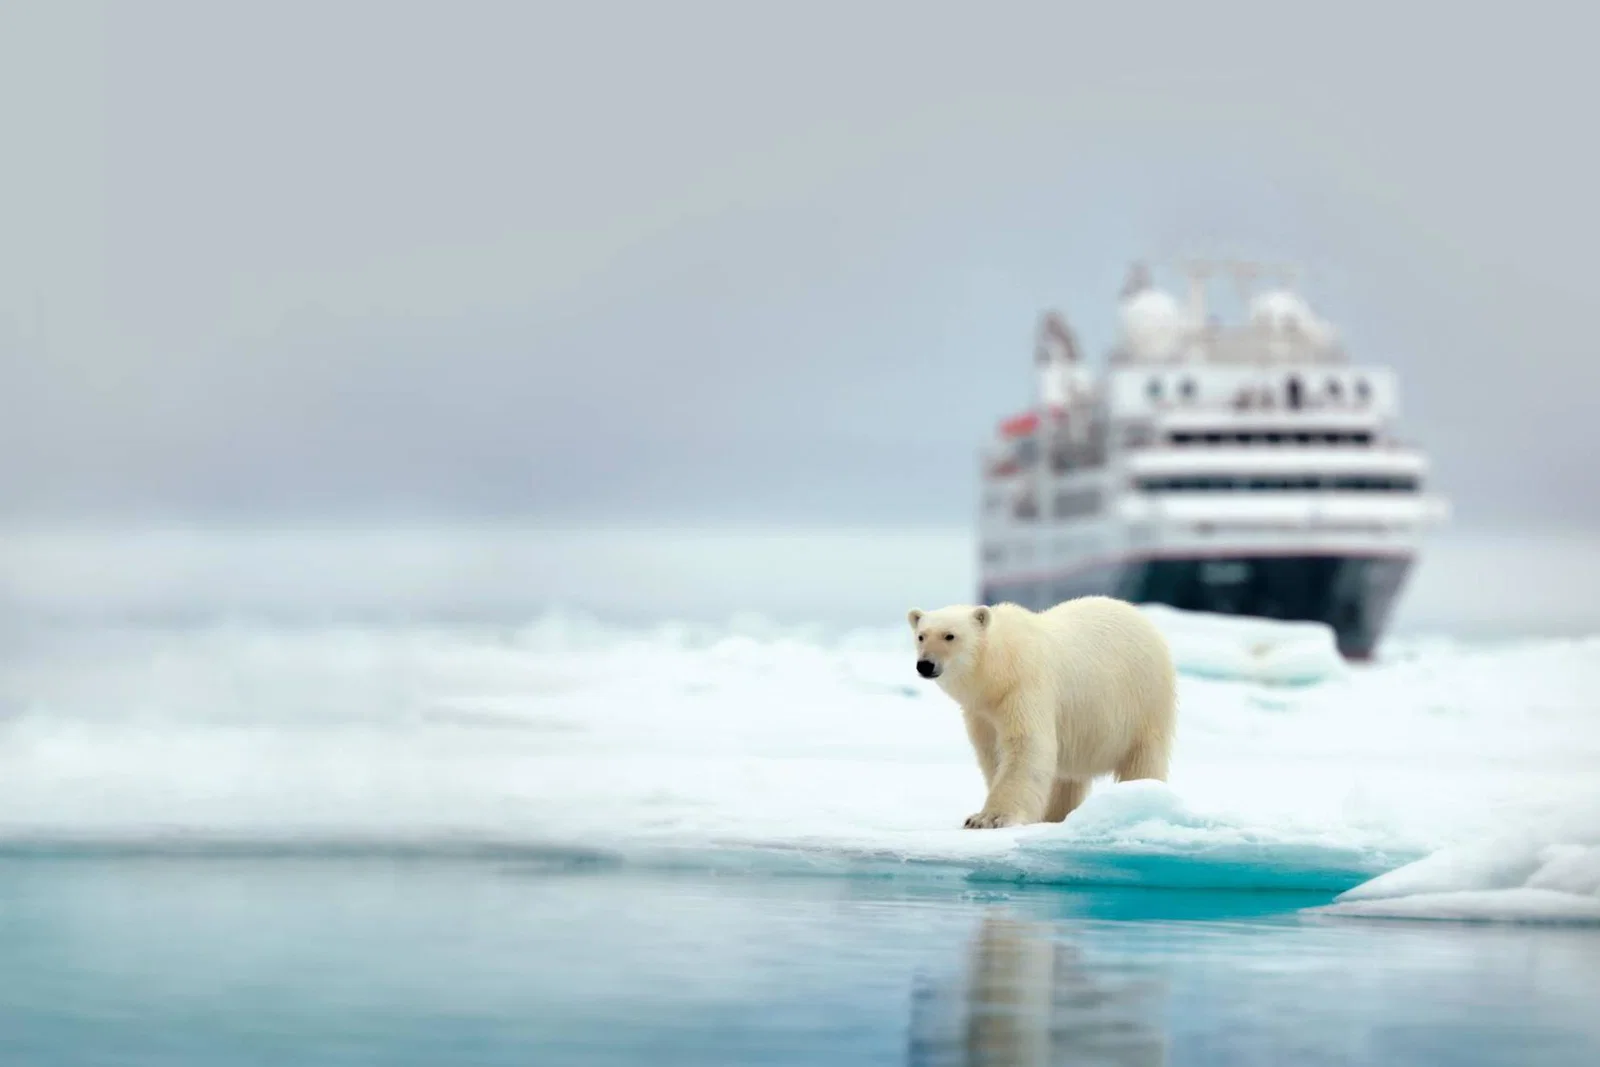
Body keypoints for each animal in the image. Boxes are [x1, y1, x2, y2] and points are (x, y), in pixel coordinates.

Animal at [907, 595, 1176, 829]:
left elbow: (1026, 745)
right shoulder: (982, 712)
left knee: (1143, 758)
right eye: (921, 636)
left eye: (950, 635)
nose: (925, 665)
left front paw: (987, 819)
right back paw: (1054, 816)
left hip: (1144, 701)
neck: (1000, 669)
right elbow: (992, 752)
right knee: (1066, 777)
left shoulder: (1024, 687)